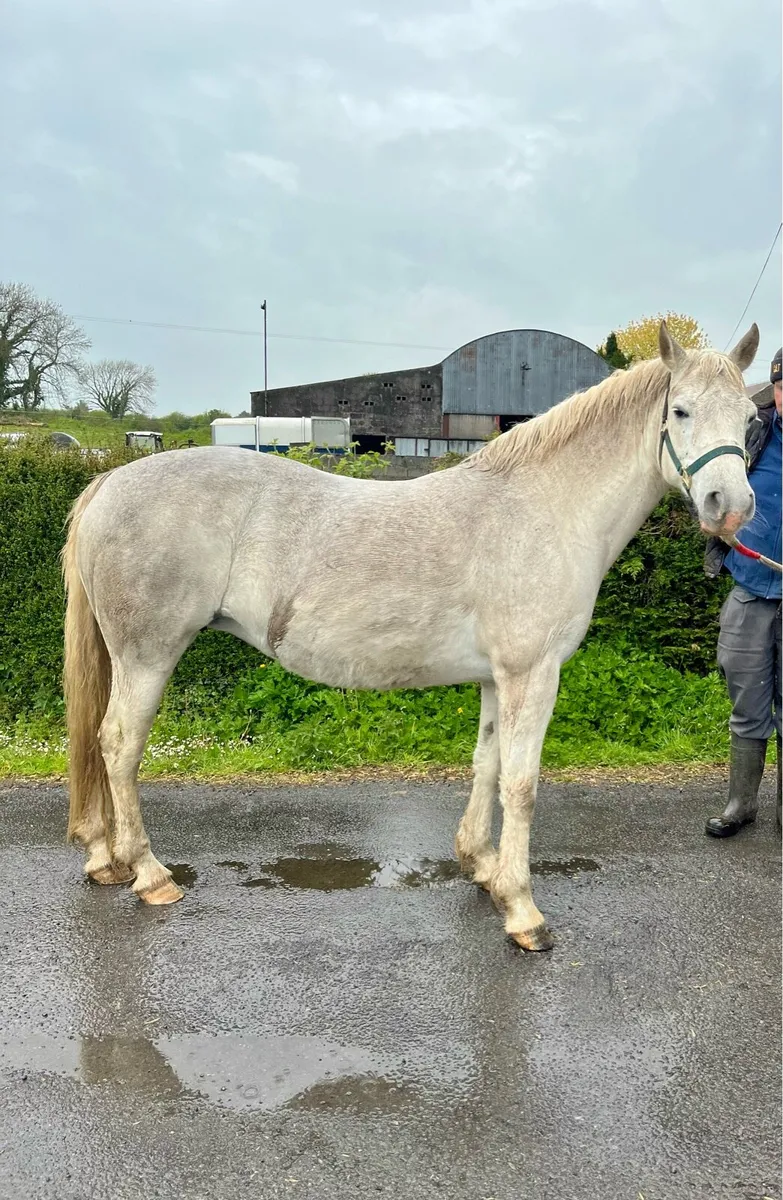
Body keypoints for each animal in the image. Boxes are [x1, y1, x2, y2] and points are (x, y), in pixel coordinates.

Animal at [62, 322, 760, 951]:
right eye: (681, 410)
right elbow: (522, 784)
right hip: (148, 656)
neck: (542, 508)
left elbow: (486, 764)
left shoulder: (495, 677)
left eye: (751, 417)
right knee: (119, 745)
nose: (730, 507)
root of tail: (109, 481)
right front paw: (523, 911)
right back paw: (149, 874)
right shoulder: (532, 673)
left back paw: (104, 858)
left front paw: (483, 868)